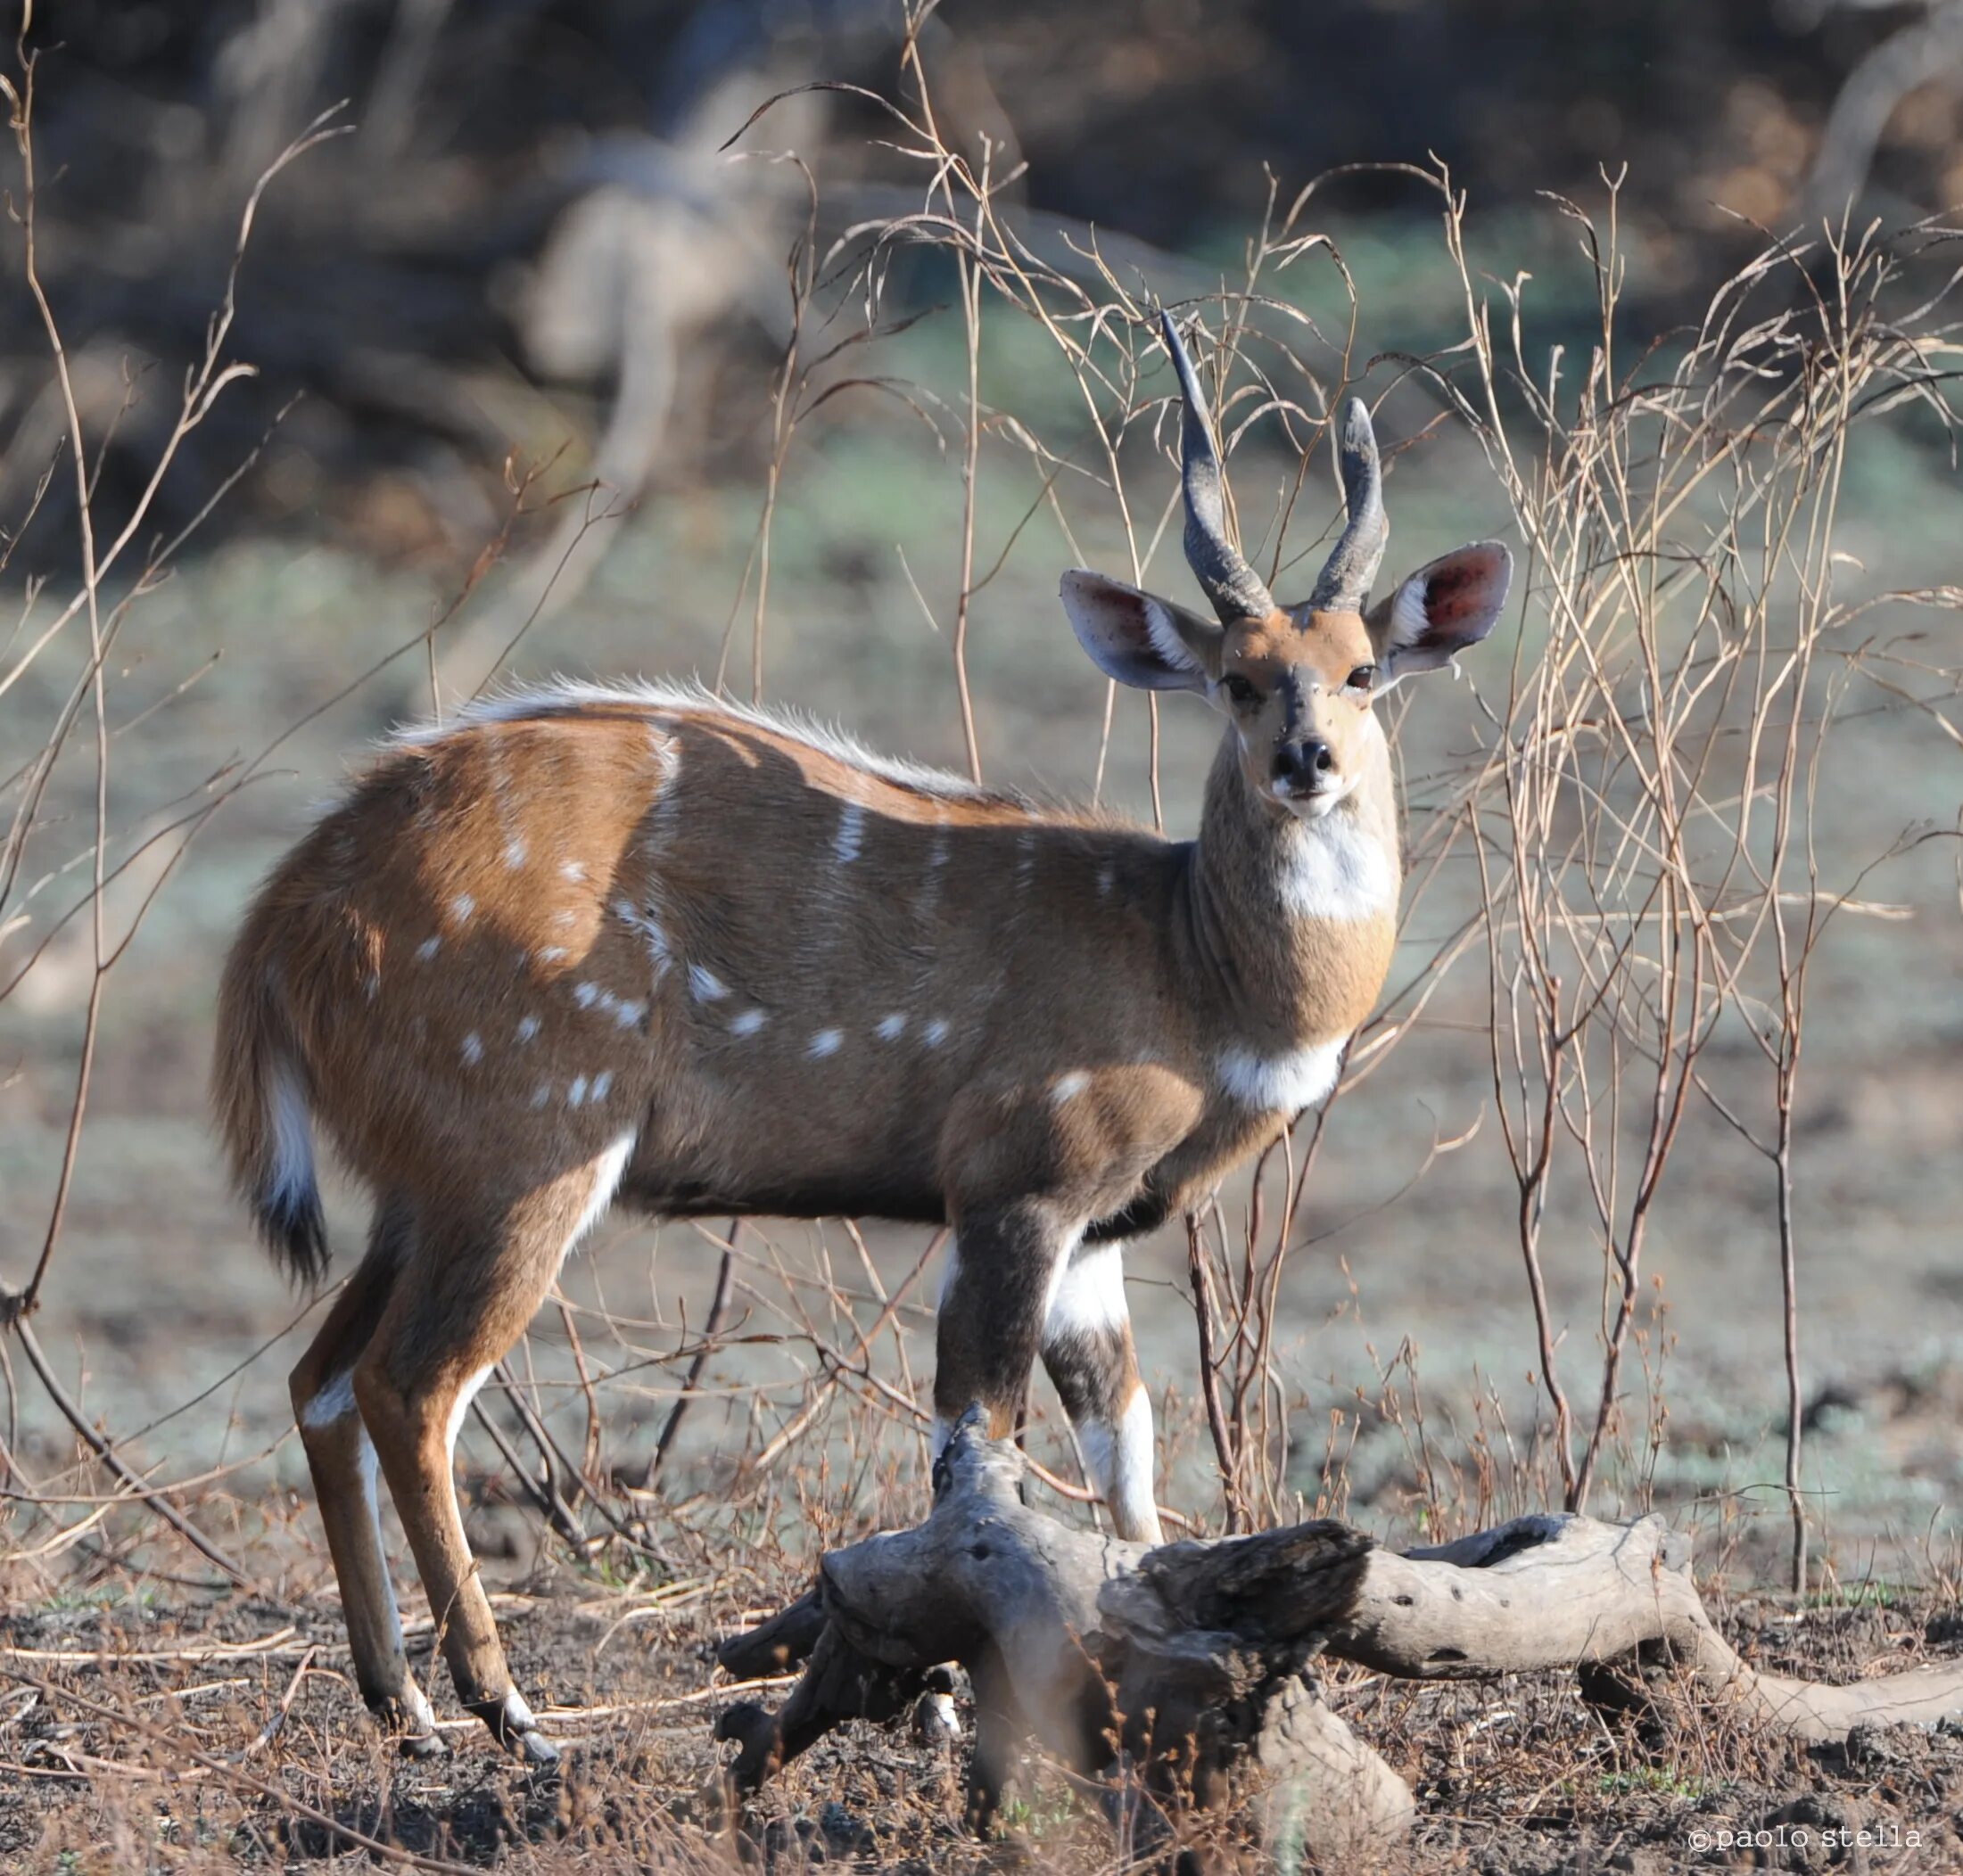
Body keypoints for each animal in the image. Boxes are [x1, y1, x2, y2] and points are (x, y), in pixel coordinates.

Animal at [210, 316, 1499, 1765]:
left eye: (1361, 670)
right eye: (1236, 680)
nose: (1306, 759)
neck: (1187, 962)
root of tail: (285, 911)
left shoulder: (1095, 1237)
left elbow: (1123, 1454)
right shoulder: (1015, 1187)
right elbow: (973, 1443)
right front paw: (947, 1699)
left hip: (417, 1188)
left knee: (320, 1377)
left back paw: (407, 1704)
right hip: (525, 1152)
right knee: (408, 1386)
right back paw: (511, 1710)